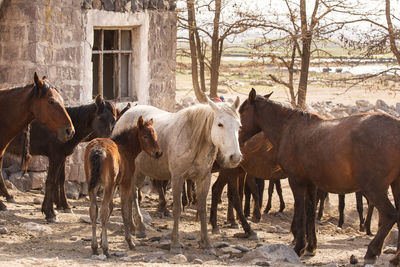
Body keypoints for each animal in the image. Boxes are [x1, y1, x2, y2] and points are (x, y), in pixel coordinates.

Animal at [3, 95, 120, 223]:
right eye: (100, 118)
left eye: (114, 120)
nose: (107, 142)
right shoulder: (56, 156)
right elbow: (51, 181)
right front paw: (50, 212)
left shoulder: (62, 157)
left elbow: (61, 179)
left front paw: (63, 205)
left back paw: (7, 198)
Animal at [85, 116, 162, 258]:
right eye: (145, 136)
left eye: (155, 135)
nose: (158, 153)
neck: (125, 149)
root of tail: (98, 150)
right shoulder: (125, 183)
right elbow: (124, 210)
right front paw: (130, 241)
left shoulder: (114, 184)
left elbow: (111, 208)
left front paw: (100, 240)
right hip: (108, 184)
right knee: (103, 210)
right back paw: (106, 248)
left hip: (93, 184)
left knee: (94, 210)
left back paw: (94, 247)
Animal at [114, 97, 242, 254]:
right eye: (220, 124)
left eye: (238, 126)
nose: (235, 157)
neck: (194, 140)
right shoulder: (177, 177)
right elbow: (176, 209)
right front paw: (175, 244)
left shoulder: (204, 179)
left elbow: (202, 209)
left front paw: (206, 244)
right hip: (135, 173)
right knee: (133, 195)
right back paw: (139, 227)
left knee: (132, 195)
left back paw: (133, 226)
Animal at [239, 88, 400, 266]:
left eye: (242, 111)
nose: (237, 138)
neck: (288, 128)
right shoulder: (311, 184)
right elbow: (310, 212)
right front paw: (311, 247)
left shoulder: (296, 181)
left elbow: (300, 211)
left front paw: (299, 247)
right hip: (395, 185)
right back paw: (395, 258)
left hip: (373, 188)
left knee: (390, 215)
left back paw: (372, 251)